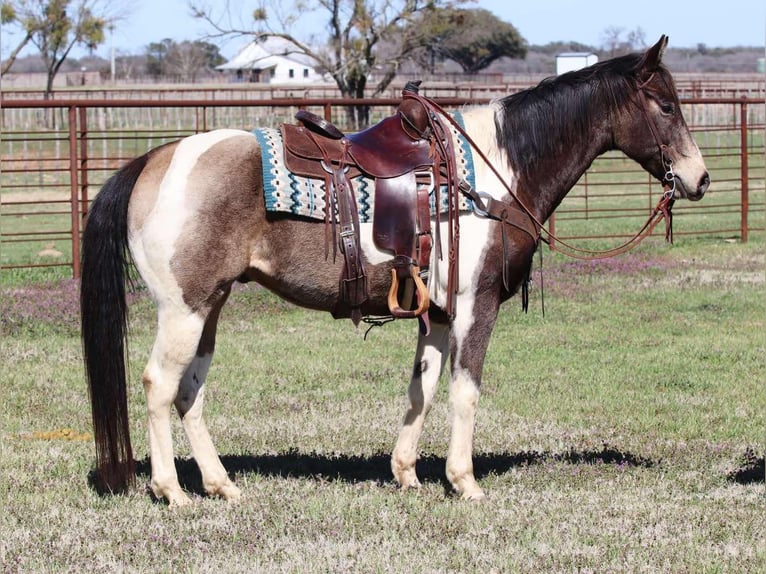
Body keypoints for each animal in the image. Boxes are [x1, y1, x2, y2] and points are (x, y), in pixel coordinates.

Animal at [81, 36, 709, 506]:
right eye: (666, 106)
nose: (699, 179)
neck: (494, 173)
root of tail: (152, 161)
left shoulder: (437, 311)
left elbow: (422, 389)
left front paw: (406, 473)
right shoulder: (476, 304)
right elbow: (464, 391)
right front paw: (465, 482)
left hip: (209, 307)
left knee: (191, 391)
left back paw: (220, 485)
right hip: (183, 309)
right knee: (160, 385)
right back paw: (171, 491)